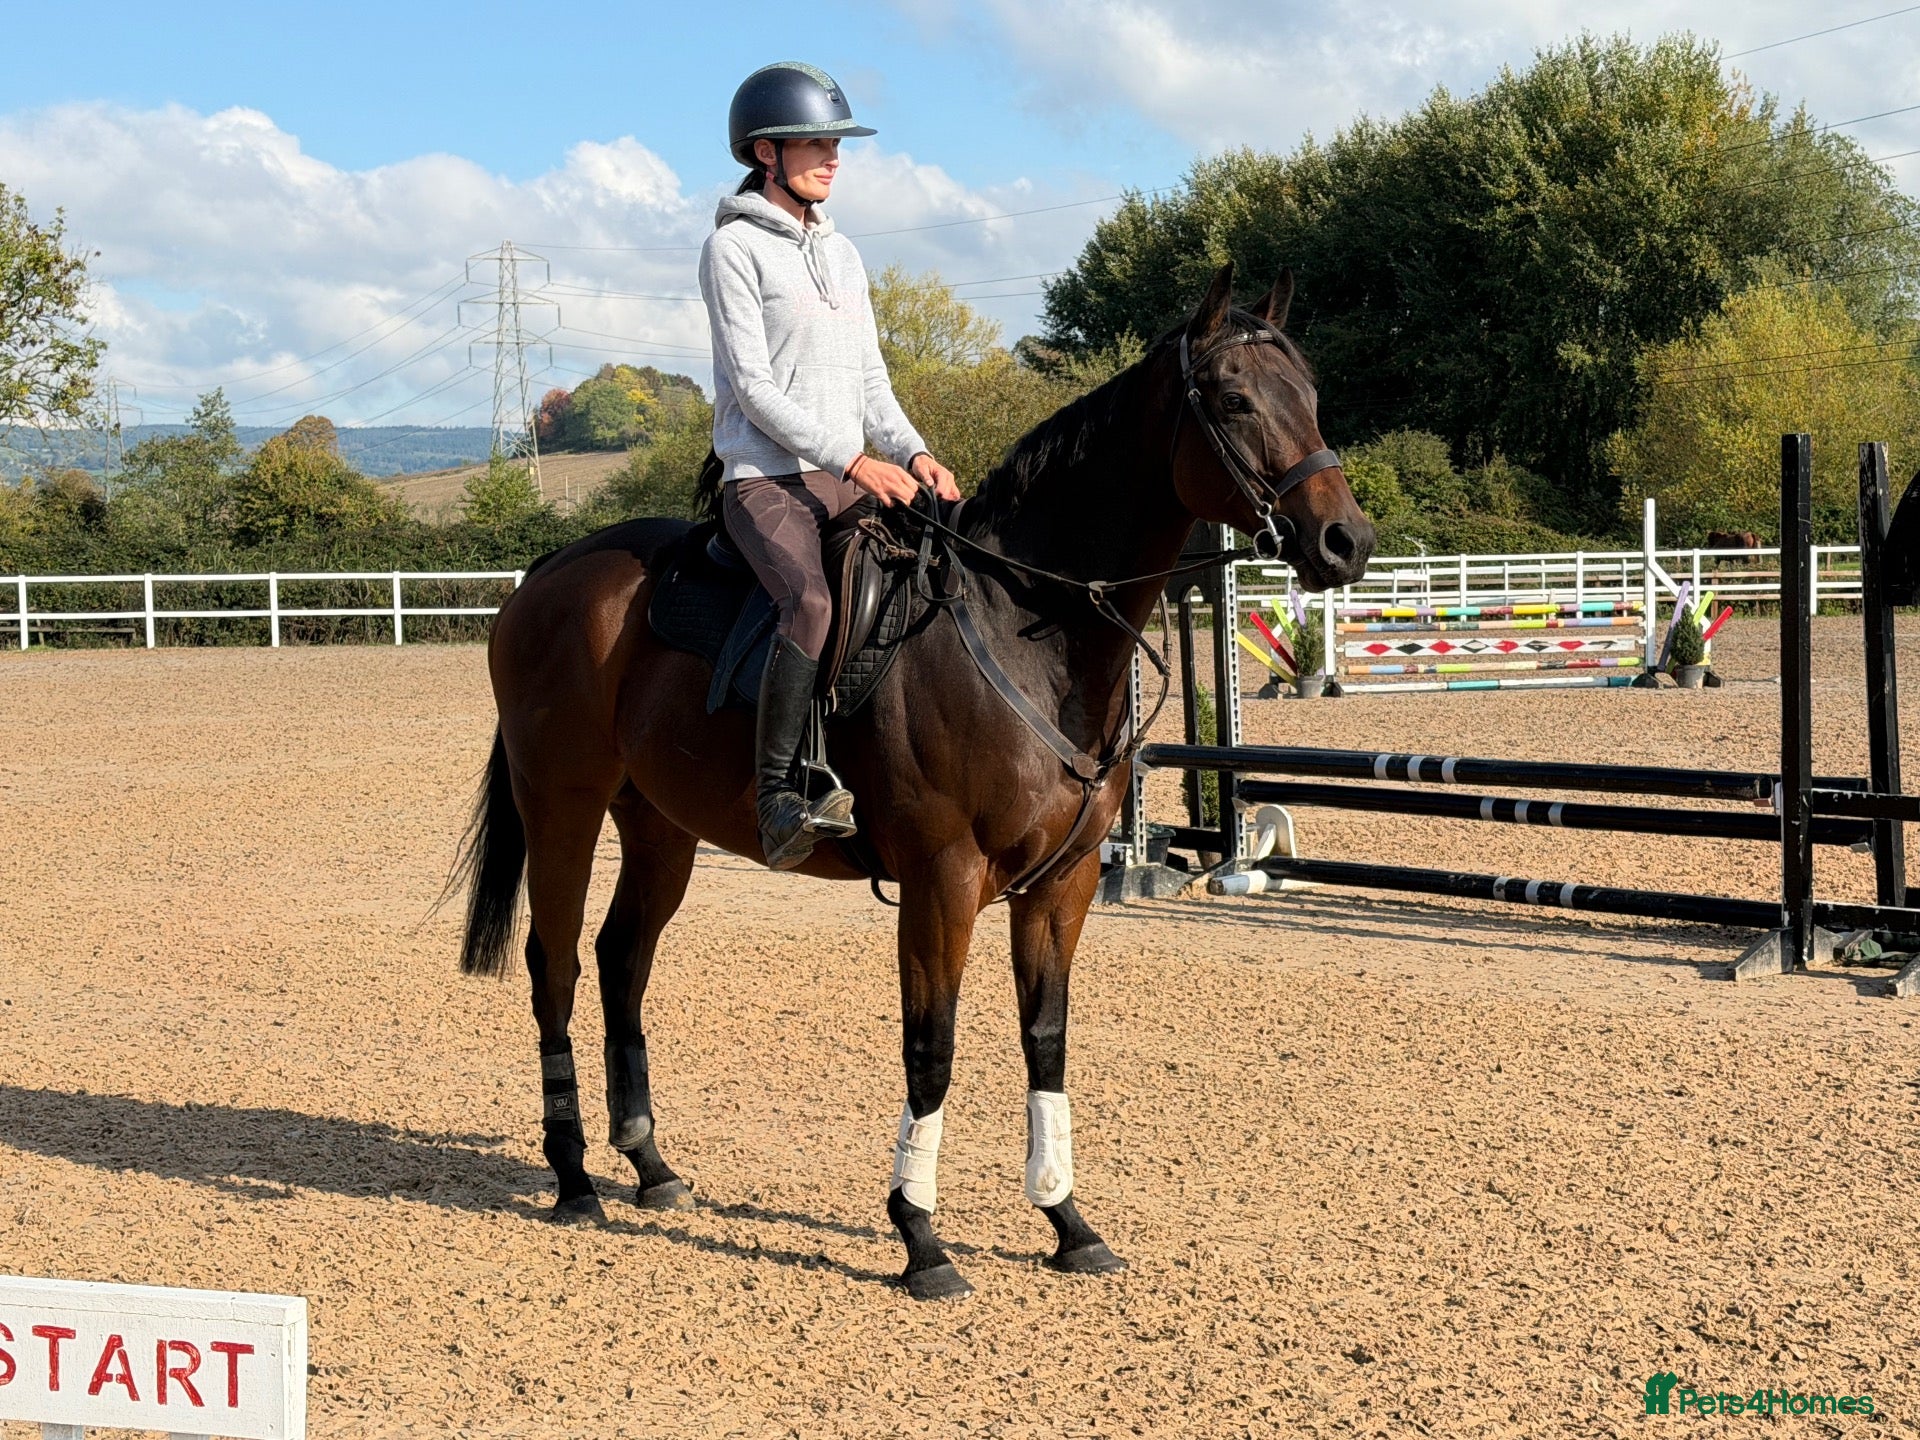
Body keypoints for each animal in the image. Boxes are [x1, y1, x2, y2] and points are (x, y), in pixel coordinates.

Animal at [454, 261, 1375, 1300]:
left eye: (1310, 396)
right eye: (1231, 399)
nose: (1344, 540)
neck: (1027, 626)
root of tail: (550, 573)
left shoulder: (1063, 882)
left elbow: (1045, 1040)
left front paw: (1066, 1221)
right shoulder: (942, 878)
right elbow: (931, 1049)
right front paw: (920, 1236)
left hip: (659, 826)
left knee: (622, 960)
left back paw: (649, 1164)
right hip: (561, 807)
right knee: (558, 964)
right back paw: (573, 1177)